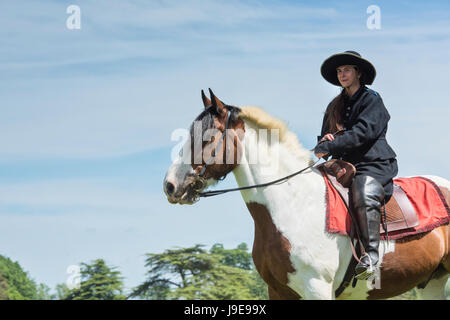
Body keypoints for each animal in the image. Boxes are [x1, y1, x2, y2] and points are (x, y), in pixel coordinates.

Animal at [163, 89, 450, 298]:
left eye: (207, 138)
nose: (170, 186)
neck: (293, 205)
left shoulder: (316, 288)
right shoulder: (278, 291)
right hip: (433, 282)